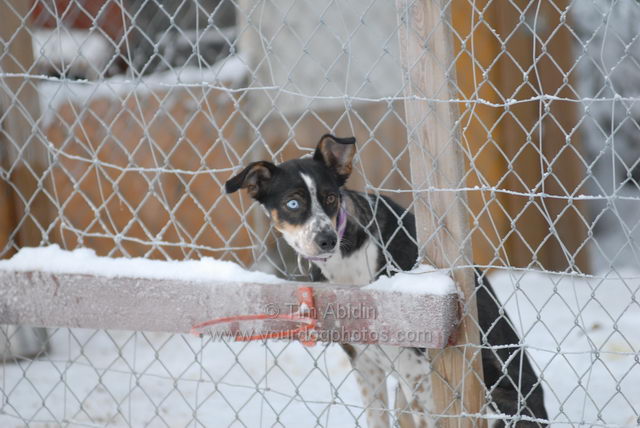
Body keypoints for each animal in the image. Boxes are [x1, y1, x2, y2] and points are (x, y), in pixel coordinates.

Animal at [225, 134, 548, 427]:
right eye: (292, 203)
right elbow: (376, 418)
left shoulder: (416, 369)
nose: (327, 240)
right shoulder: (364, 363)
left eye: (331, 198)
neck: (349, 260)